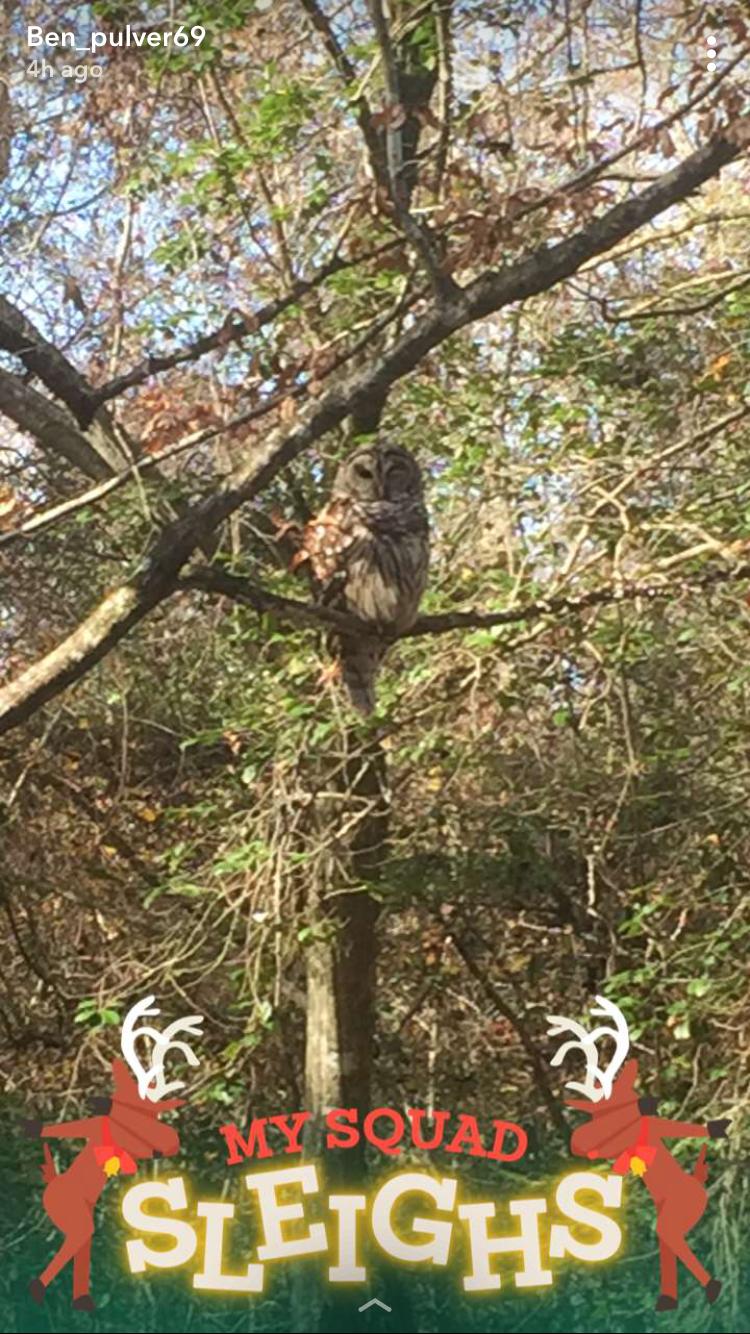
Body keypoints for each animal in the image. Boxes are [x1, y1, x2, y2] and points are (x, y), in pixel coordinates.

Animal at [21, 995, 203, 1312]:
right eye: (133, 1110)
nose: (169, 1142)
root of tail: (53, 1185)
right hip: (68, 1209)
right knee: (79, 1236)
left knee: (81, 1239)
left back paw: (76, 1297)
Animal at [547, 995, 730, 1312]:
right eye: (596, 1114)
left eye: (618, 1105)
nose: (578, 1142)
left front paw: (717, 1127)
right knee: (668, 1240)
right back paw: (672, 1298)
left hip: (682, 1209)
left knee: (669, 1235)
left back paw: (707, 1288)